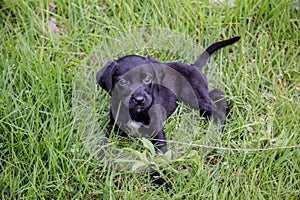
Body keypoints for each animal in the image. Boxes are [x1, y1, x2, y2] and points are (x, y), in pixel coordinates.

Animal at [95, 36, 239, 155]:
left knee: (215, 106)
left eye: (147, 78)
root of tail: (193, 67)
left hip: (194, 97)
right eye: (122, 82)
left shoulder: (157, 133)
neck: (136, 113)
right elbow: (103, 143)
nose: (139, 100)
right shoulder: (113, 128)